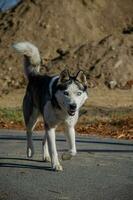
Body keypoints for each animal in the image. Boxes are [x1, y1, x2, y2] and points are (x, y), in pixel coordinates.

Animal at [12, 41, 87, 171]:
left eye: (78, 93)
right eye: (66, 93)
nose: (73, 106)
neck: (61, 108)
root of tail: (36, 76)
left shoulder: (69, 127)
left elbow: (73, 150)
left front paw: (65, 156)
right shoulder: (50, 126)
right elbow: (54, 150)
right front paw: (56, 164)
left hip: (48, 124)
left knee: (43, 140)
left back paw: (45, 156)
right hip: (33, 118)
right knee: (29, 132)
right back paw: (30, 150)